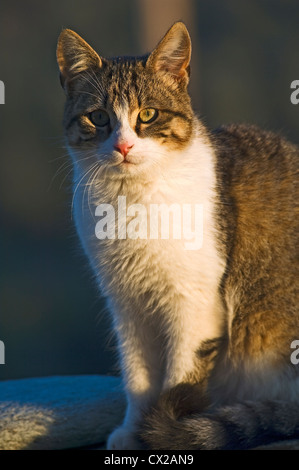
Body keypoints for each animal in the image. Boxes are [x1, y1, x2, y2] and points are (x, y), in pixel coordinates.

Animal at [56, 23, 299, 452]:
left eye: (148, 115)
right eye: (98, 118)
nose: (123, 145)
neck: (131, 201)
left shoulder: (195, 303)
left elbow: (181, 376)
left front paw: (168, 431)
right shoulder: (127, 304)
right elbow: (138, 376)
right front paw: (134, 430)